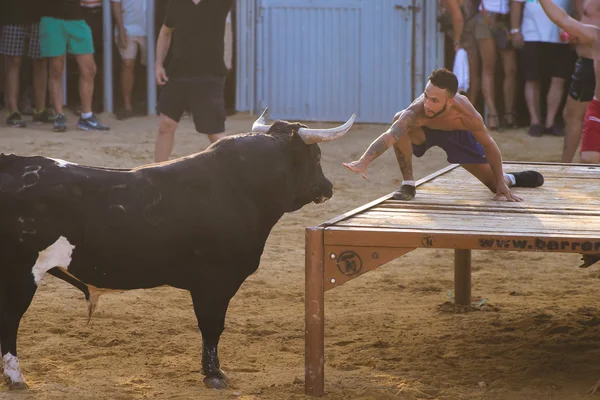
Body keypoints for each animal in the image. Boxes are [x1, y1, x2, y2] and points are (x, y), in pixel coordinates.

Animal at [0, 109, 354, 390]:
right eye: (316, 158)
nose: (328, 187)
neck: (240, 187)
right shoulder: (214, 283)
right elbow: (212, 326)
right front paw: (214, 375)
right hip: (21, 274)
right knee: (10, 318)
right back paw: (16, 378)